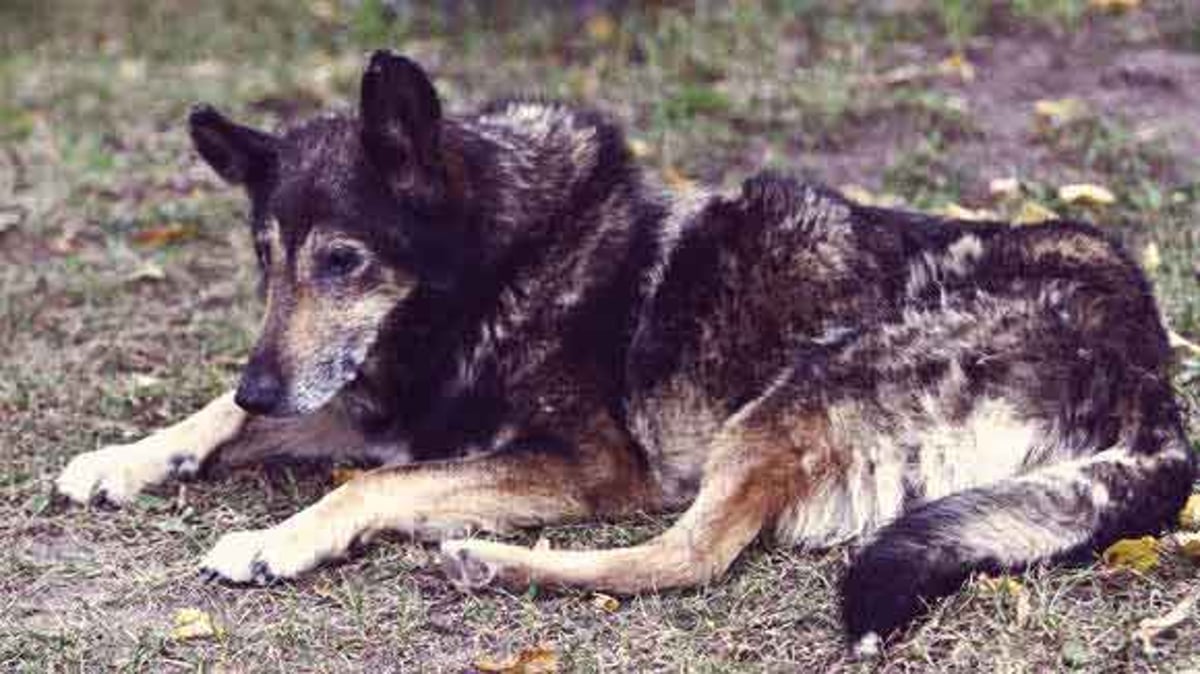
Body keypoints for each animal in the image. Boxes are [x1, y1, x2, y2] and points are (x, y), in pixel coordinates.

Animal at [54, 51, 1190, 652]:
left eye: (341, 260)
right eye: (265, 258)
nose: (263, 380)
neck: (503, 257)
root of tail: (1153, 384)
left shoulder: (584, 461)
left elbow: (368, 486)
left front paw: (276, 537)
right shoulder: (380, 398)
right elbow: (229, 414)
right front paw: (123, 457)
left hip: (795, 392)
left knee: (689, 552)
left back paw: (495, 561)